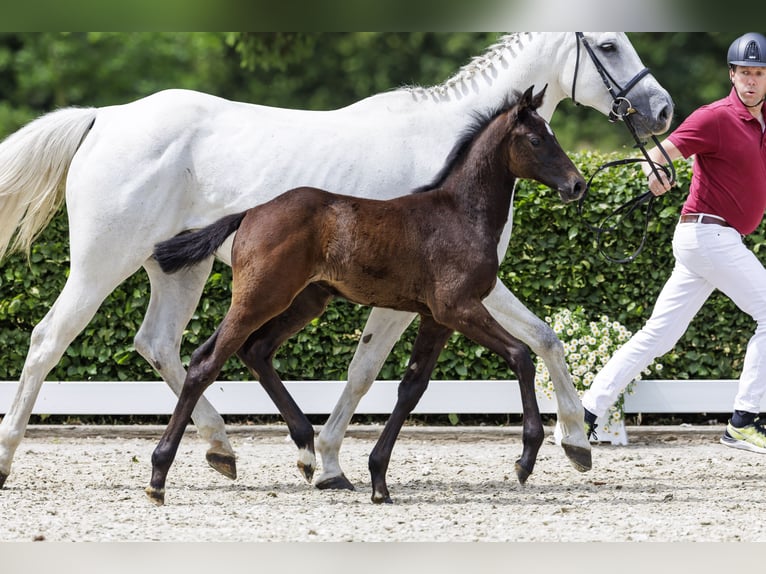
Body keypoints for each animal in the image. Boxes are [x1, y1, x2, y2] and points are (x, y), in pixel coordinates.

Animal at [146, 84, 588, 504]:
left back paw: (307, 453)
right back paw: (160, 475)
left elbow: (412, 388)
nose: (577, 184)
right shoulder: (459, 308)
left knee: (253, 351)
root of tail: (251, 213)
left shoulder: (437, 318)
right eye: (536, 139)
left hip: (305, 300)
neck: (460, 215)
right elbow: (521, 356)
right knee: (205, 363)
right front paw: (526, 458)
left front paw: (378, 479)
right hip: (260, 297)